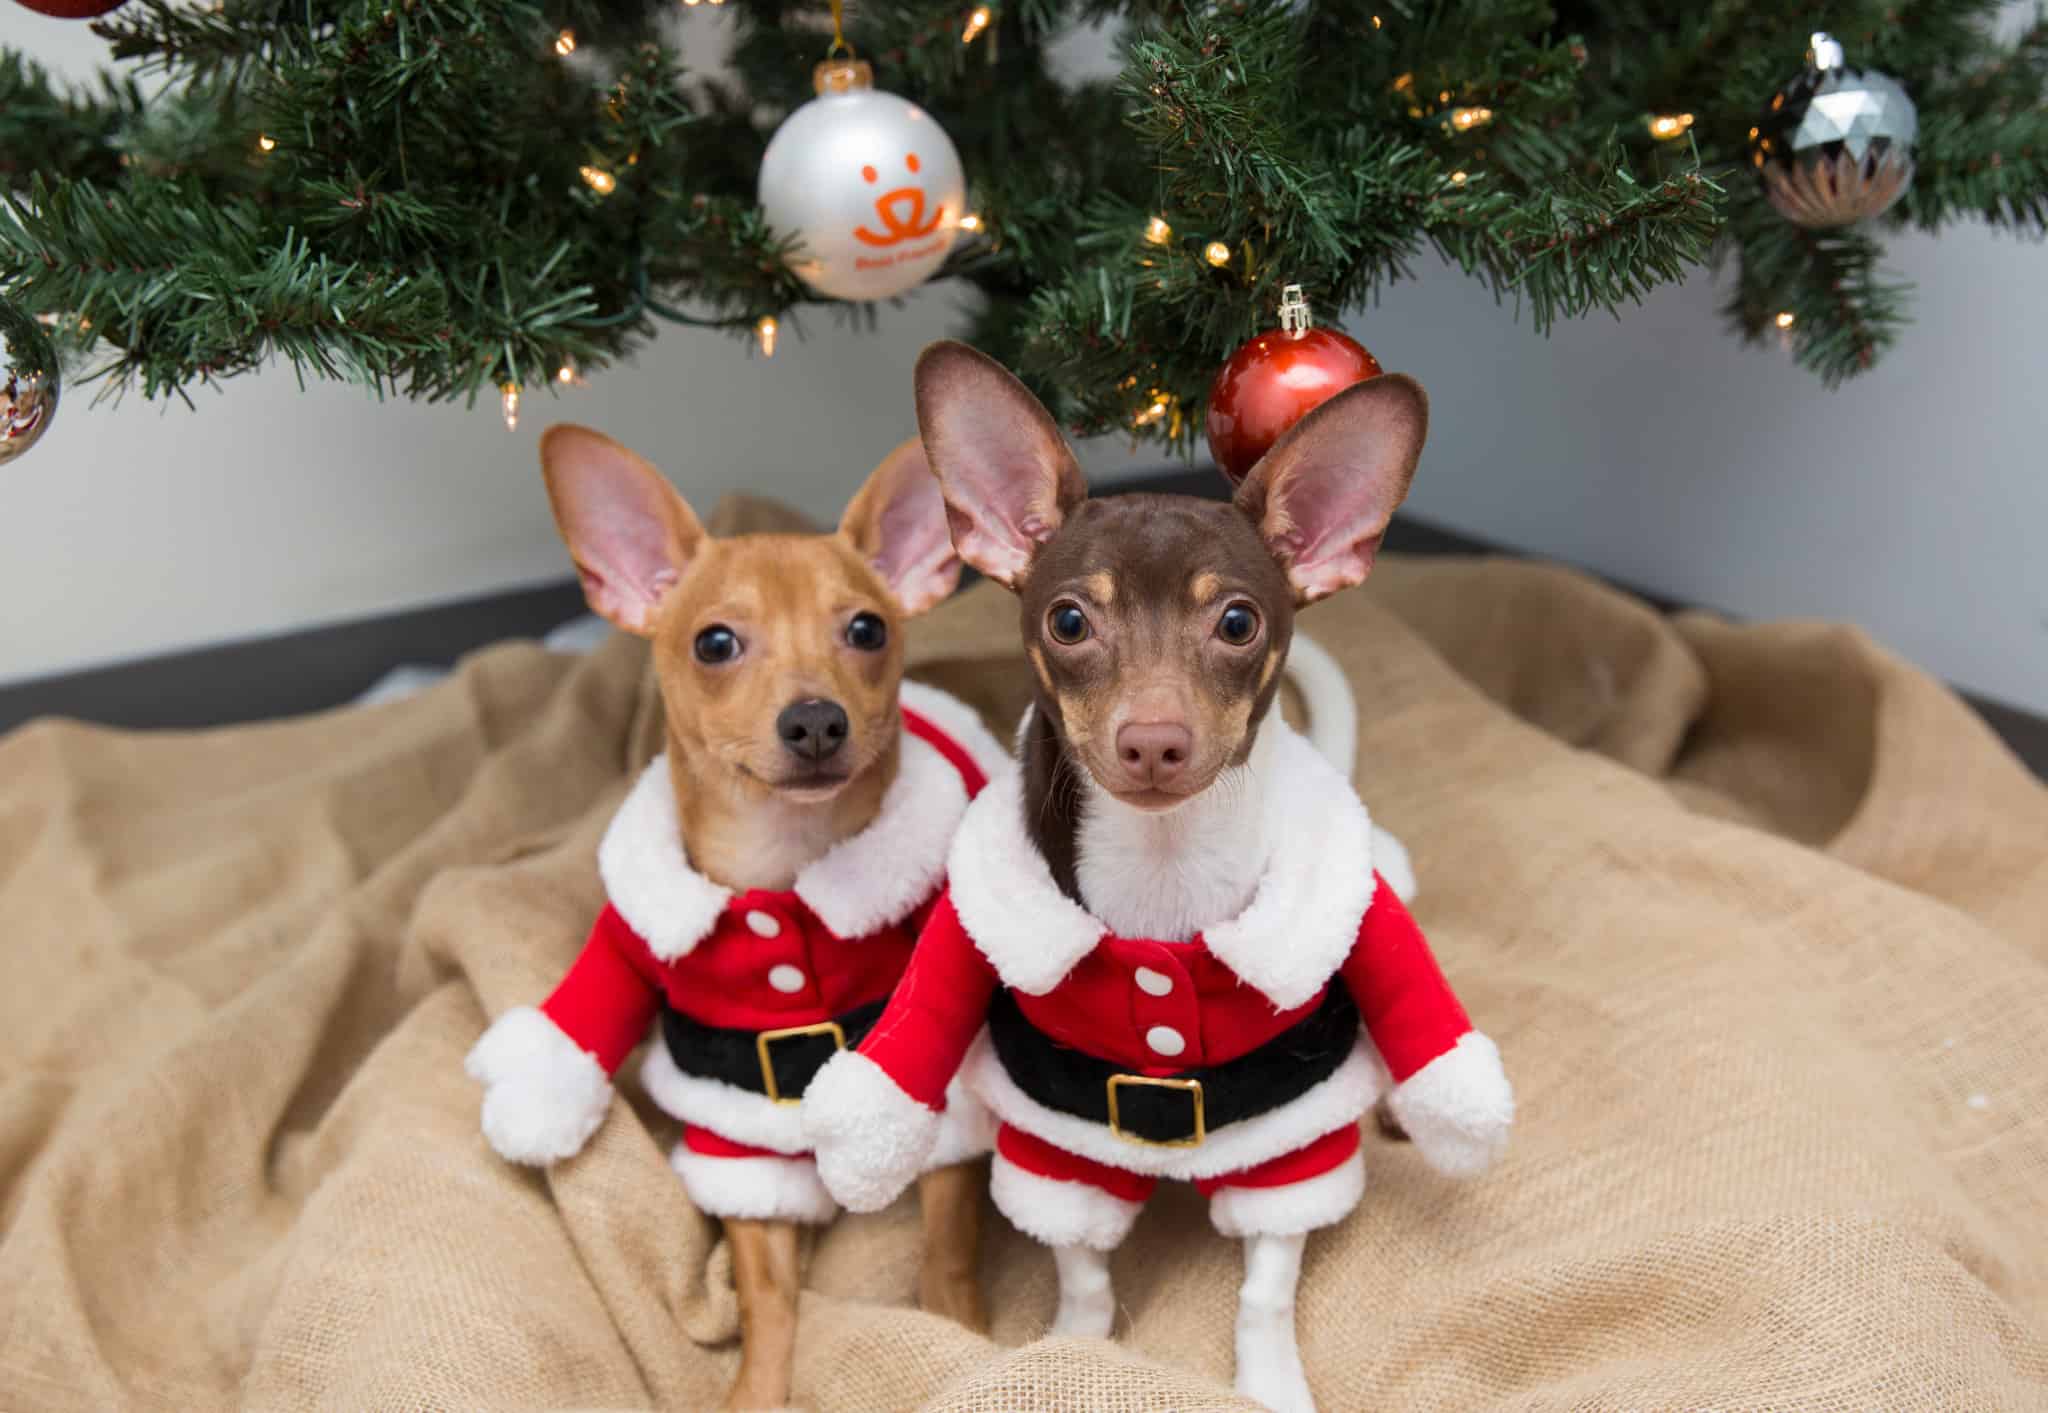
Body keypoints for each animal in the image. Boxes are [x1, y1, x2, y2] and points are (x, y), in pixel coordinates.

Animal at [464, 423, 1007, 1400]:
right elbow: (767, 1295)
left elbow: (944, 1250)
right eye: (715, 642)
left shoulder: (935, 1110)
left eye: (866, 629)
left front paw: (965, 1340)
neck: (785, 866)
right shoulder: (733, 1139)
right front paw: (755, 1386)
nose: (816, 719)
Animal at [806, 344, 1515, 1408]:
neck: (1164, 872)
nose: (1153, 739)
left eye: (1238, 622)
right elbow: (1083, 1272)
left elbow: (1264, 1288)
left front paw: (1271, 1384)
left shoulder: (1291, 1153)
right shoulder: (1055, 1150)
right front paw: (1071, 1351)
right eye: (1067, 620)